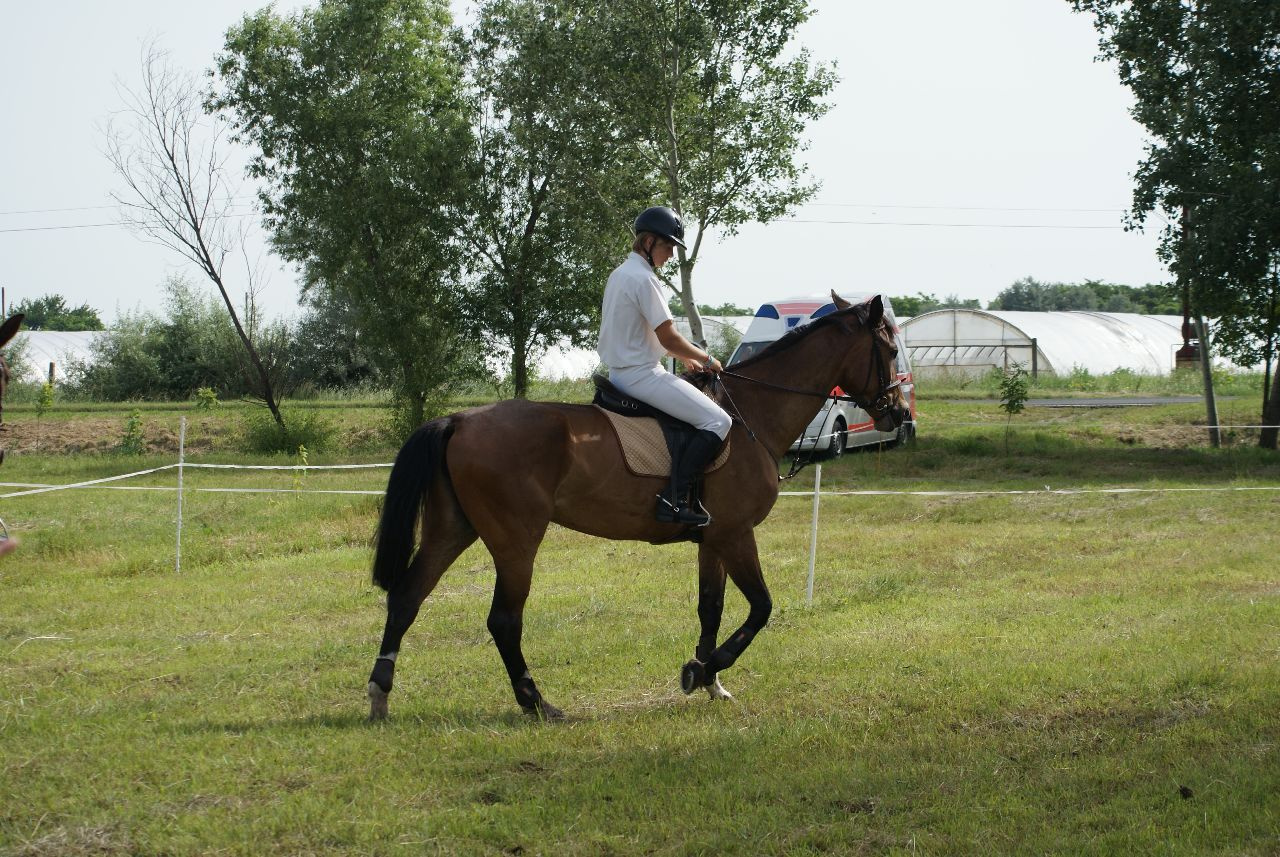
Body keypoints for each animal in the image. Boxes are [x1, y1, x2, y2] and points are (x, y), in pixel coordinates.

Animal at [368, 291, 911, 721]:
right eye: (888, 349)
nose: (899, 415)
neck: (751, 417)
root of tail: (458, 419)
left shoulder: (713, 539)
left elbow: (710, 608)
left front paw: (709, 679)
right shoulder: (736, 533)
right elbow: (760, 608)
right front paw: (702, 671)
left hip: (453, 529)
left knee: (407, 597)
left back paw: (380, 694)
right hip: (515, 541)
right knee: (503, 620)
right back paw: (537, 703)